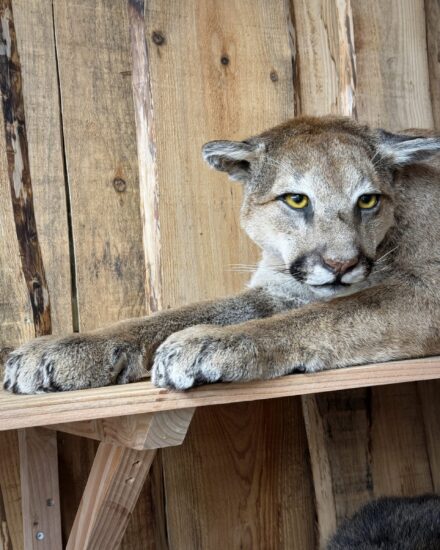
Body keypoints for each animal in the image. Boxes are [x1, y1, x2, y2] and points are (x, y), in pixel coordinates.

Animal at [3, 116, 440, 394]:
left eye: (368, 200)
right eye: (296, 199)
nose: (341, 265)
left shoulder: (425, 294)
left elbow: (325, 315)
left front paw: (208, 344)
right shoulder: (280, 289)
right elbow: (176, 314)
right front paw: (60, 349)